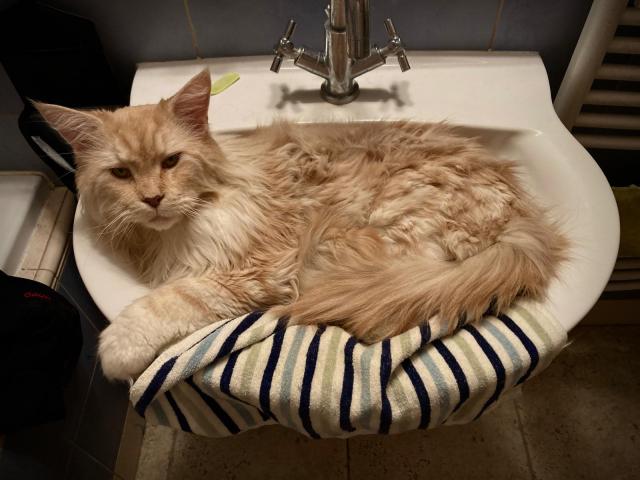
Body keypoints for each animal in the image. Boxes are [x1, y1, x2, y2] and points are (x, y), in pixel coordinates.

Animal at [35, 69, 567, 381]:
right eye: (121, 174)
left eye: (171, 161)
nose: (153, 199)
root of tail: (521, 221)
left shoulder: (256, 270)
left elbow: (172, 301)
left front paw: (116, 348)